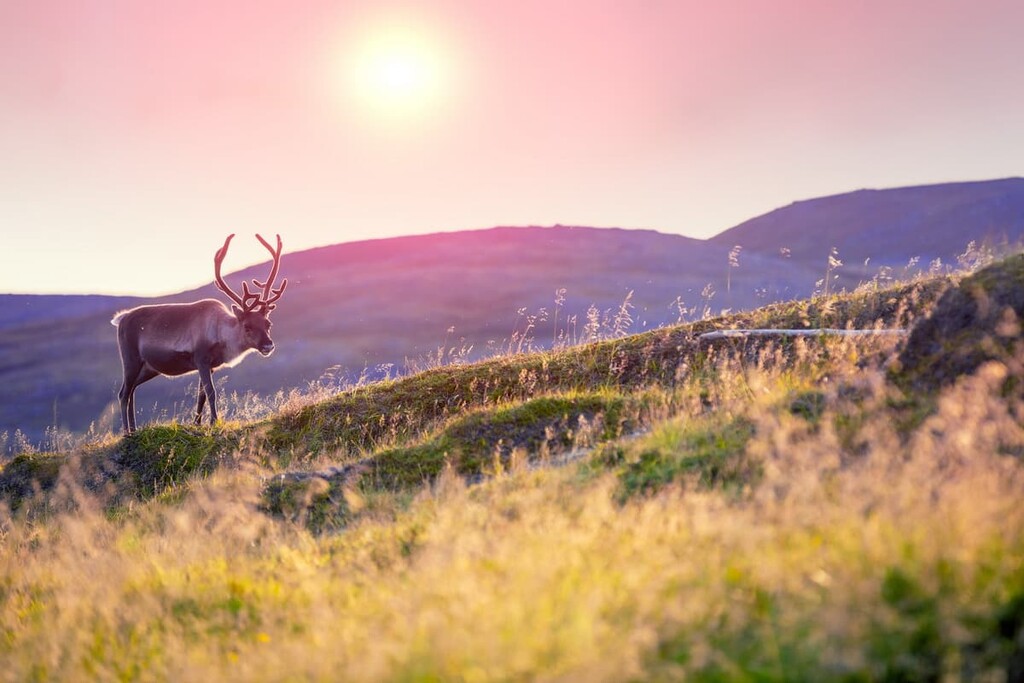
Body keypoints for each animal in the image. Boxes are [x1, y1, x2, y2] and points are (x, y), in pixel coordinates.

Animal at [111, 234, 287, 434]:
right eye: (247, 326)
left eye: (268, 324)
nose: (268, 345)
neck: (220, 331)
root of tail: (122, 318)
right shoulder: (201, 359)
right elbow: (211, 392)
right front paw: (214, 422)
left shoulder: (210, 366)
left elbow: (201, 395)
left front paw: (197, 424)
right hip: (131, 359)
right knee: (124, 393)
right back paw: (127, 432)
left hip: (149, 367)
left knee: (132, 390)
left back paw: (134, 429)